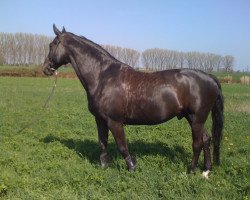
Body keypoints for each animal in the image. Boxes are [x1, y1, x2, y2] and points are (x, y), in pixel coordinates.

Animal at [43, 24, 225, 177]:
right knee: (206, 139)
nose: (46, 68)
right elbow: (102, 143)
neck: (103, 76)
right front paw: (104, 167)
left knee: (197, 143)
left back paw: (191, 170)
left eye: (52, 45)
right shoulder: (100, 120)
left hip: (196, 119)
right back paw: (206, 170)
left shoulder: (114, 121)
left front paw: (132, 168)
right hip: (194, 118)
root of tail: (209, 77)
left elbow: (122, 146)